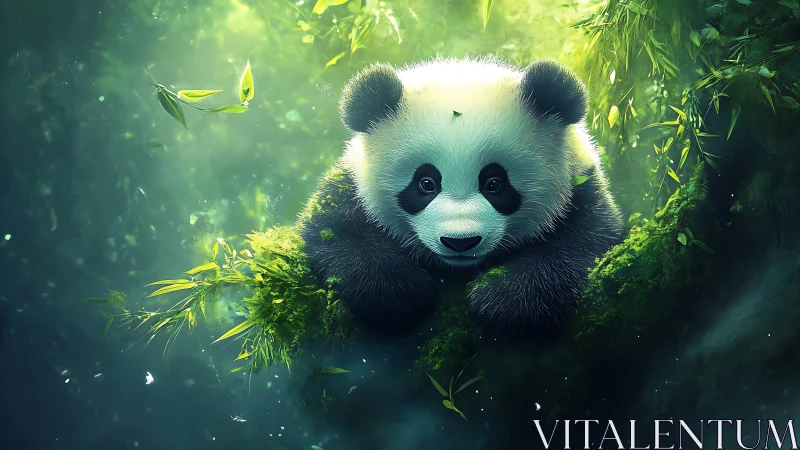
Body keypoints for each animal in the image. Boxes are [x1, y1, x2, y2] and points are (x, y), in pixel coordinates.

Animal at [298, 57, 623, 335]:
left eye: (494, 184)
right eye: (426, 183)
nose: (460, 242)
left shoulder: (581, 188)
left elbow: (582, 242)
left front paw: (503, 300)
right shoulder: (351, 184)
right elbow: (337, 231)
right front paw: (399, 294)